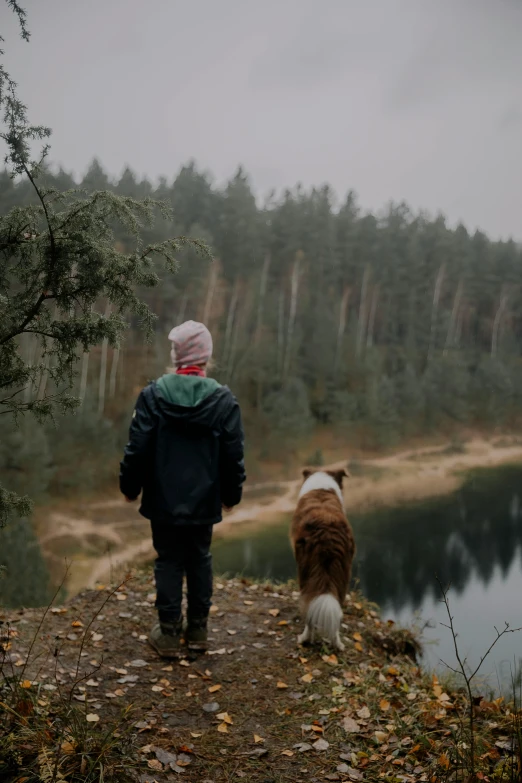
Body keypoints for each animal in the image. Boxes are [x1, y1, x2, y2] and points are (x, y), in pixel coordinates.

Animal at [288, 468, 354, 652]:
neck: (321, 488)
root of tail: (327, 531)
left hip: (305, 572)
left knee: (309, 608)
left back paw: (305, 639)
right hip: (343, 574)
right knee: (337, 609)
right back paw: (337, 643)